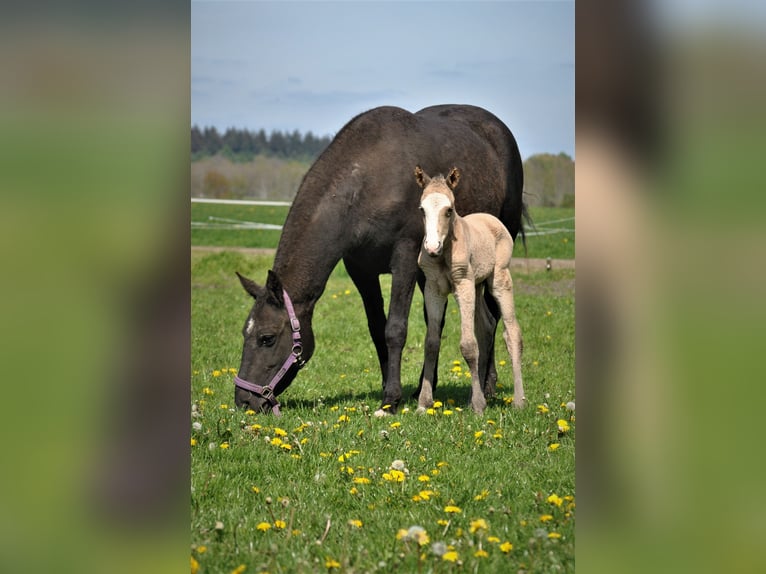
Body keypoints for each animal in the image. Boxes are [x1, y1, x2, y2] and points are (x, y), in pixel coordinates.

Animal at [415, 166, 525, 415]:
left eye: (449, 210)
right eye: (422, 210)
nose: (432, 247)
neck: (444, 253)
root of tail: (492, 219)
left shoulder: (463, 284)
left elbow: (467, 345)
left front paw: (478, 406)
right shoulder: (433, 289)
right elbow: (431, 343)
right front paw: (423, 403)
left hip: (499, 279)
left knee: (512, 332)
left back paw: (518, 400)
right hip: (477, 285)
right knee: (486, 327)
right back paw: (475, 396)